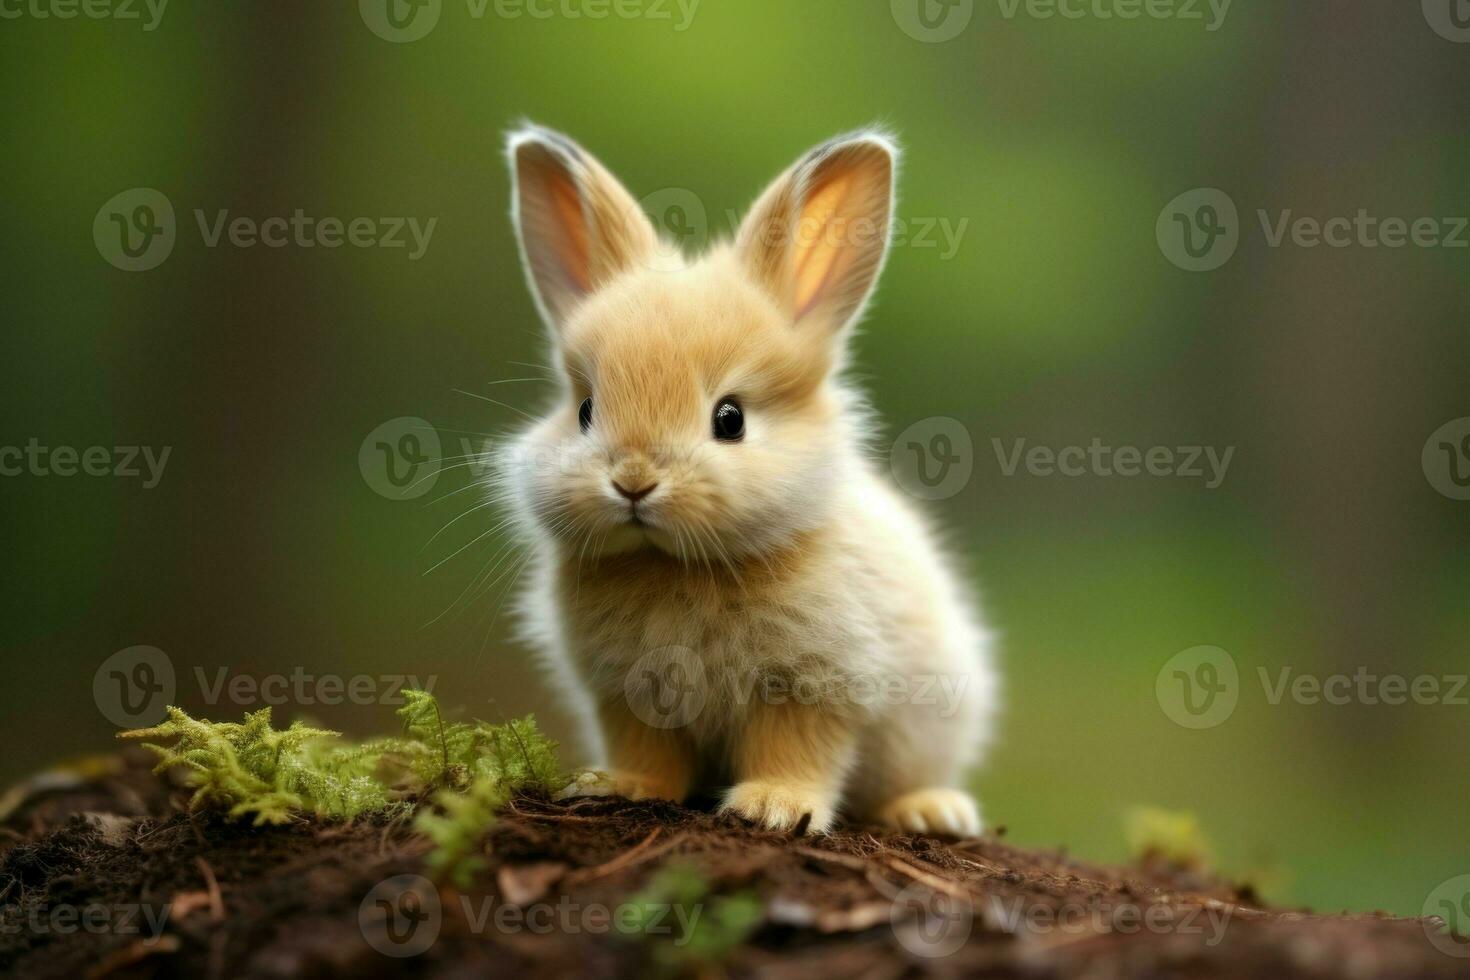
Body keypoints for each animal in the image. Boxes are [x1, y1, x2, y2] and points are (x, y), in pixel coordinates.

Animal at [496, 122, 999, 834]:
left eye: (729, 419)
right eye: (585, 410)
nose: (633, 480)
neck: (675, 565)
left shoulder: (813, 687)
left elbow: (797, 750)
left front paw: (772, 807)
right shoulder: (627, 694)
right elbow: (648, 752)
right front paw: (620, 785)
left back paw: (933, 811)